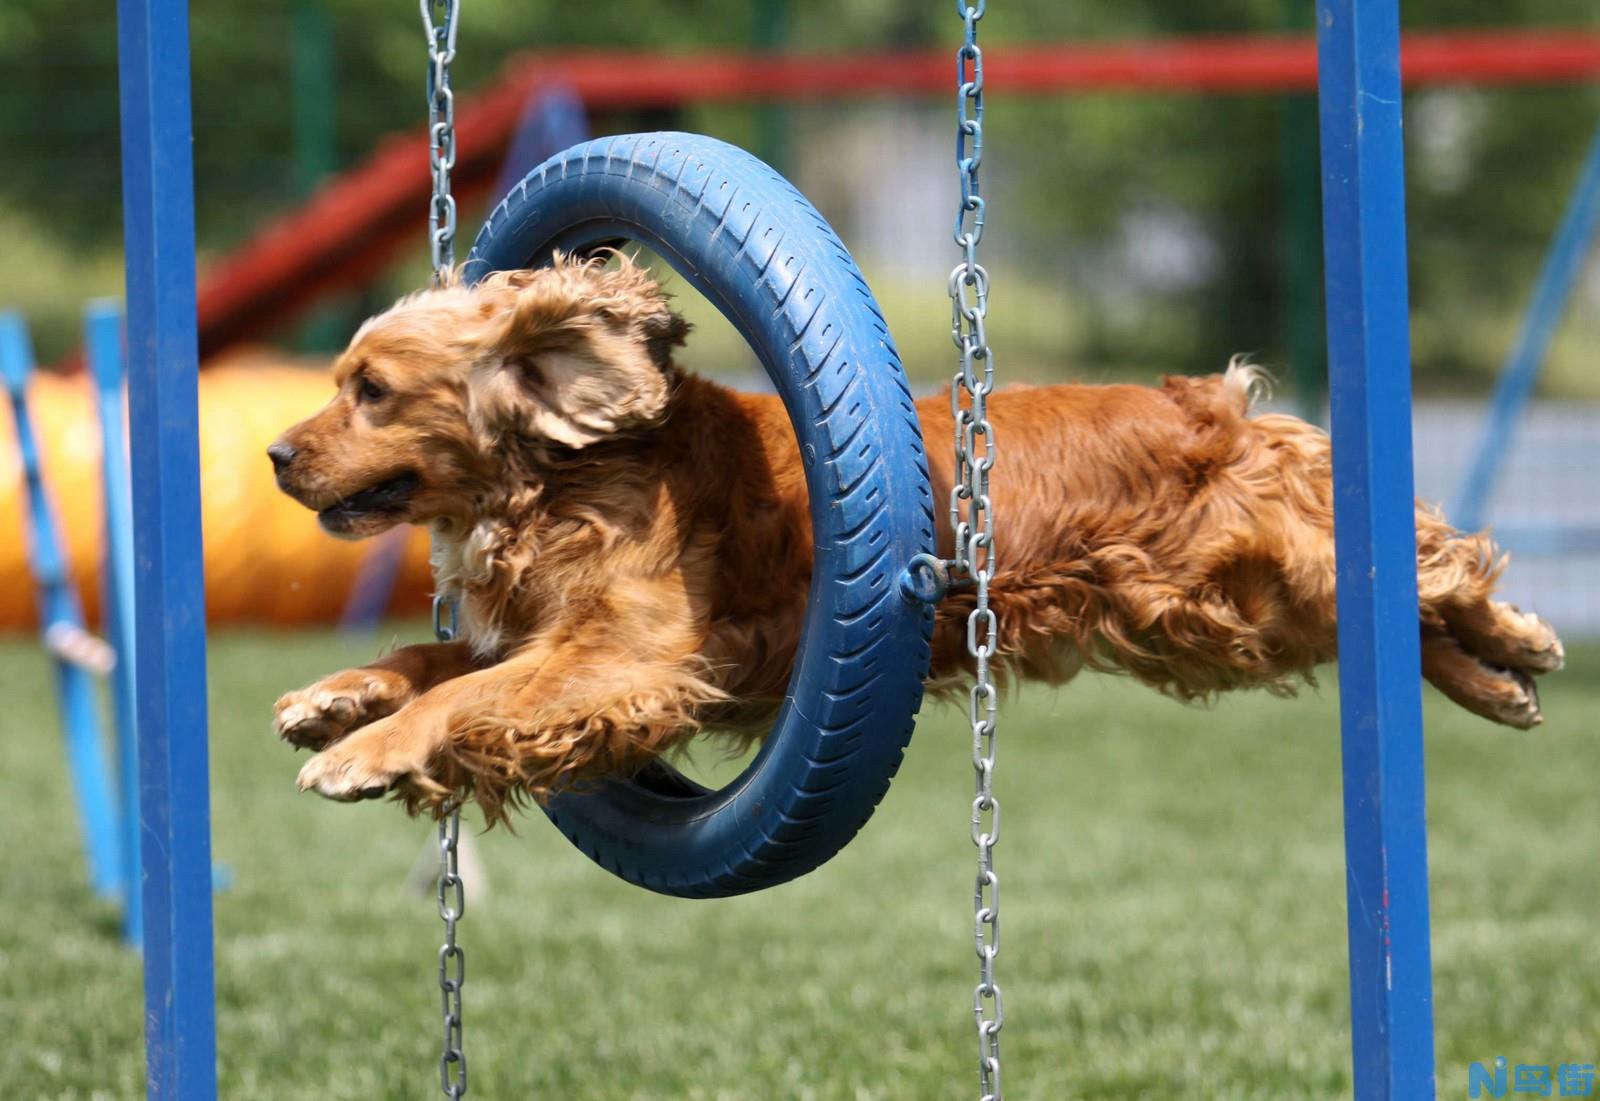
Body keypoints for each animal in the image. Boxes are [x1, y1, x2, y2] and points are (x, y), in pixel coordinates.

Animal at [272, 254, 1561, 819]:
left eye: (371, 390)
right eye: (339, 382)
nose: (277, 454)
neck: (570, 472)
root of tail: (1216, 404)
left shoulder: (628, 656)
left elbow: (463, 696)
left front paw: (360, 755)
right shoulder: (554, 641)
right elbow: (438, 658)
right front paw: (333, 698)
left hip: (1270, 561)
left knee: (1430, 563)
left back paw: (1521, 641)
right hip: (1215, 617)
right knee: (1386, 611)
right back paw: (1497, 688)